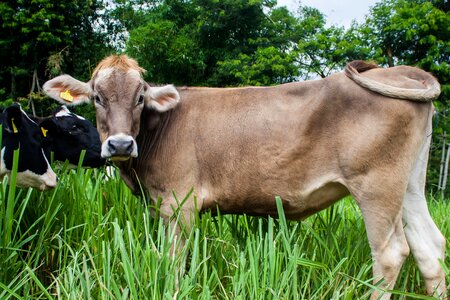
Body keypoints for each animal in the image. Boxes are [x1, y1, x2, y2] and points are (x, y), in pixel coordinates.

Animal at [44, 55, 444, 298]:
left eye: (140, 97)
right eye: (97, 97)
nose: (121, 144)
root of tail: (398, 70)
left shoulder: (178, 203)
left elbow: (172, 263)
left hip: (376, 184)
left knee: (390, 253)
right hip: (409, 185)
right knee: (430, 245)